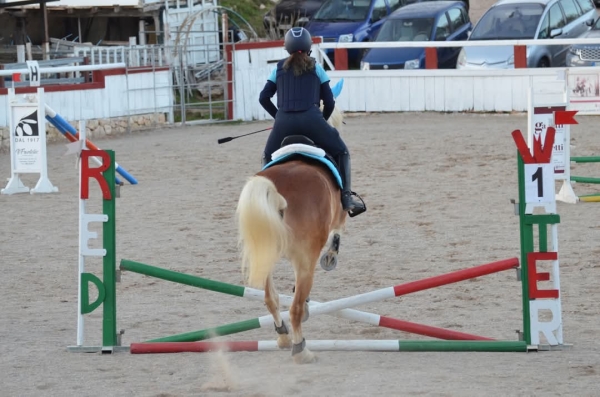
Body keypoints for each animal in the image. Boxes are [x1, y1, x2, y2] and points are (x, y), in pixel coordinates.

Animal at [236, 100, 356, 364]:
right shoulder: (338, 218)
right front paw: (330, 257)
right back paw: (301, 350)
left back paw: (283, 337)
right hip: (304, 258)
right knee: (296, 307)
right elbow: (338, 232)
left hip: (265, 253)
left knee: (271, 299)